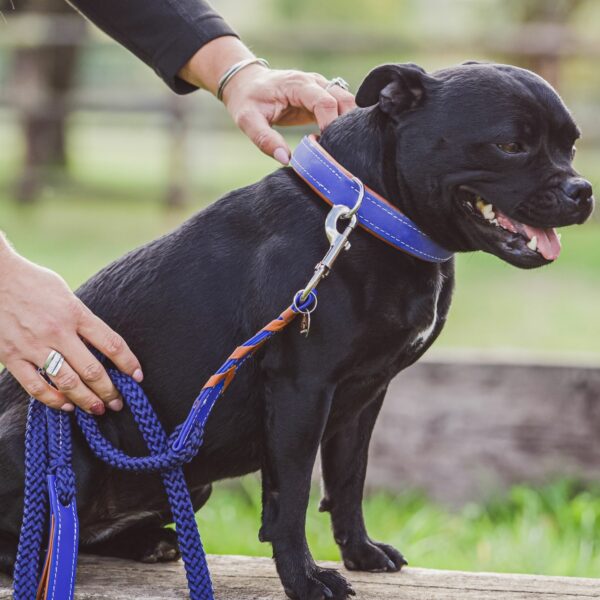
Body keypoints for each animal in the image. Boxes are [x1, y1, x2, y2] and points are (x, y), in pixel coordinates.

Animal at [0, 63, 592, 596]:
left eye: (572, 146)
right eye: (510, 145)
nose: (583, 190)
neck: (369, 213)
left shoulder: (363, 397)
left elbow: (348, 482)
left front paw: (360, 553)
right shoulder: (301, 393)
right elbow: (291, 499)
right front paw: (306, 580)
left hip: (191, 481)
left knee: (79, 537)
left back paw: (150, 542)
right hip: (63, 439)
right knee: (35, 540)